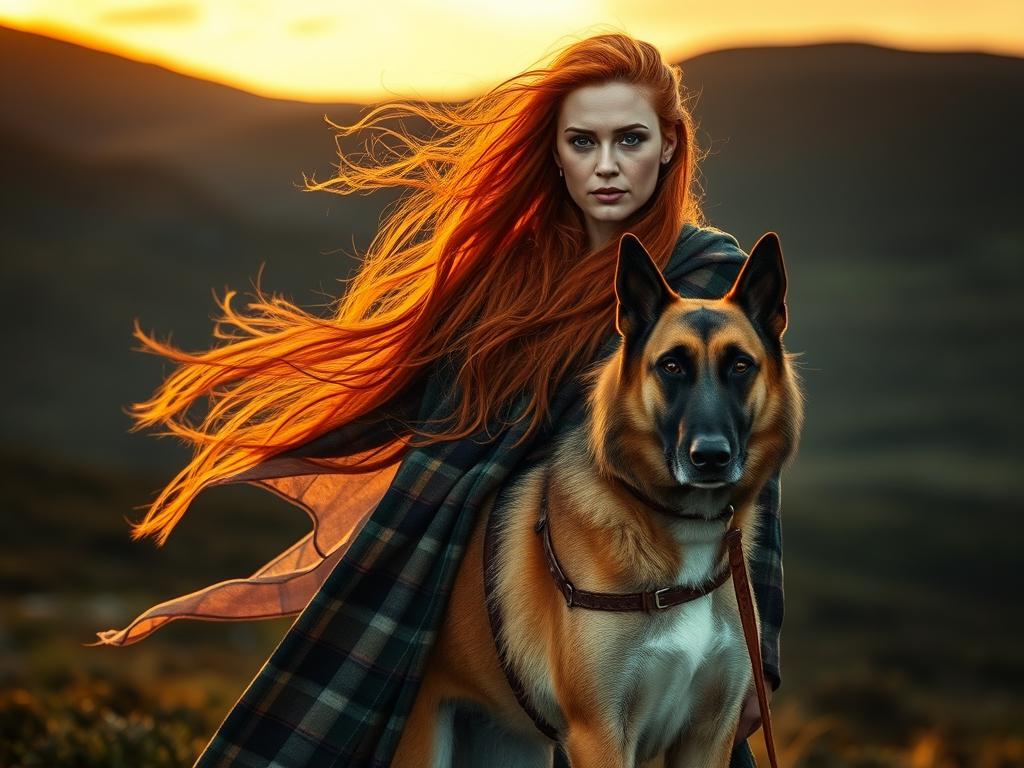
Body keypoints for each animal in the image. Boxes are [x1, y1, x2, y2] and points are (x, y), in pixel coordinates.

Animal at [395, 231, 802, 768]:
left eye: (740, 365)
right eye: (671, 365)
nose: (711, 457)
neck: (682, 533)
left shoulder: (709, 733)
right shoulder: (600, 735)